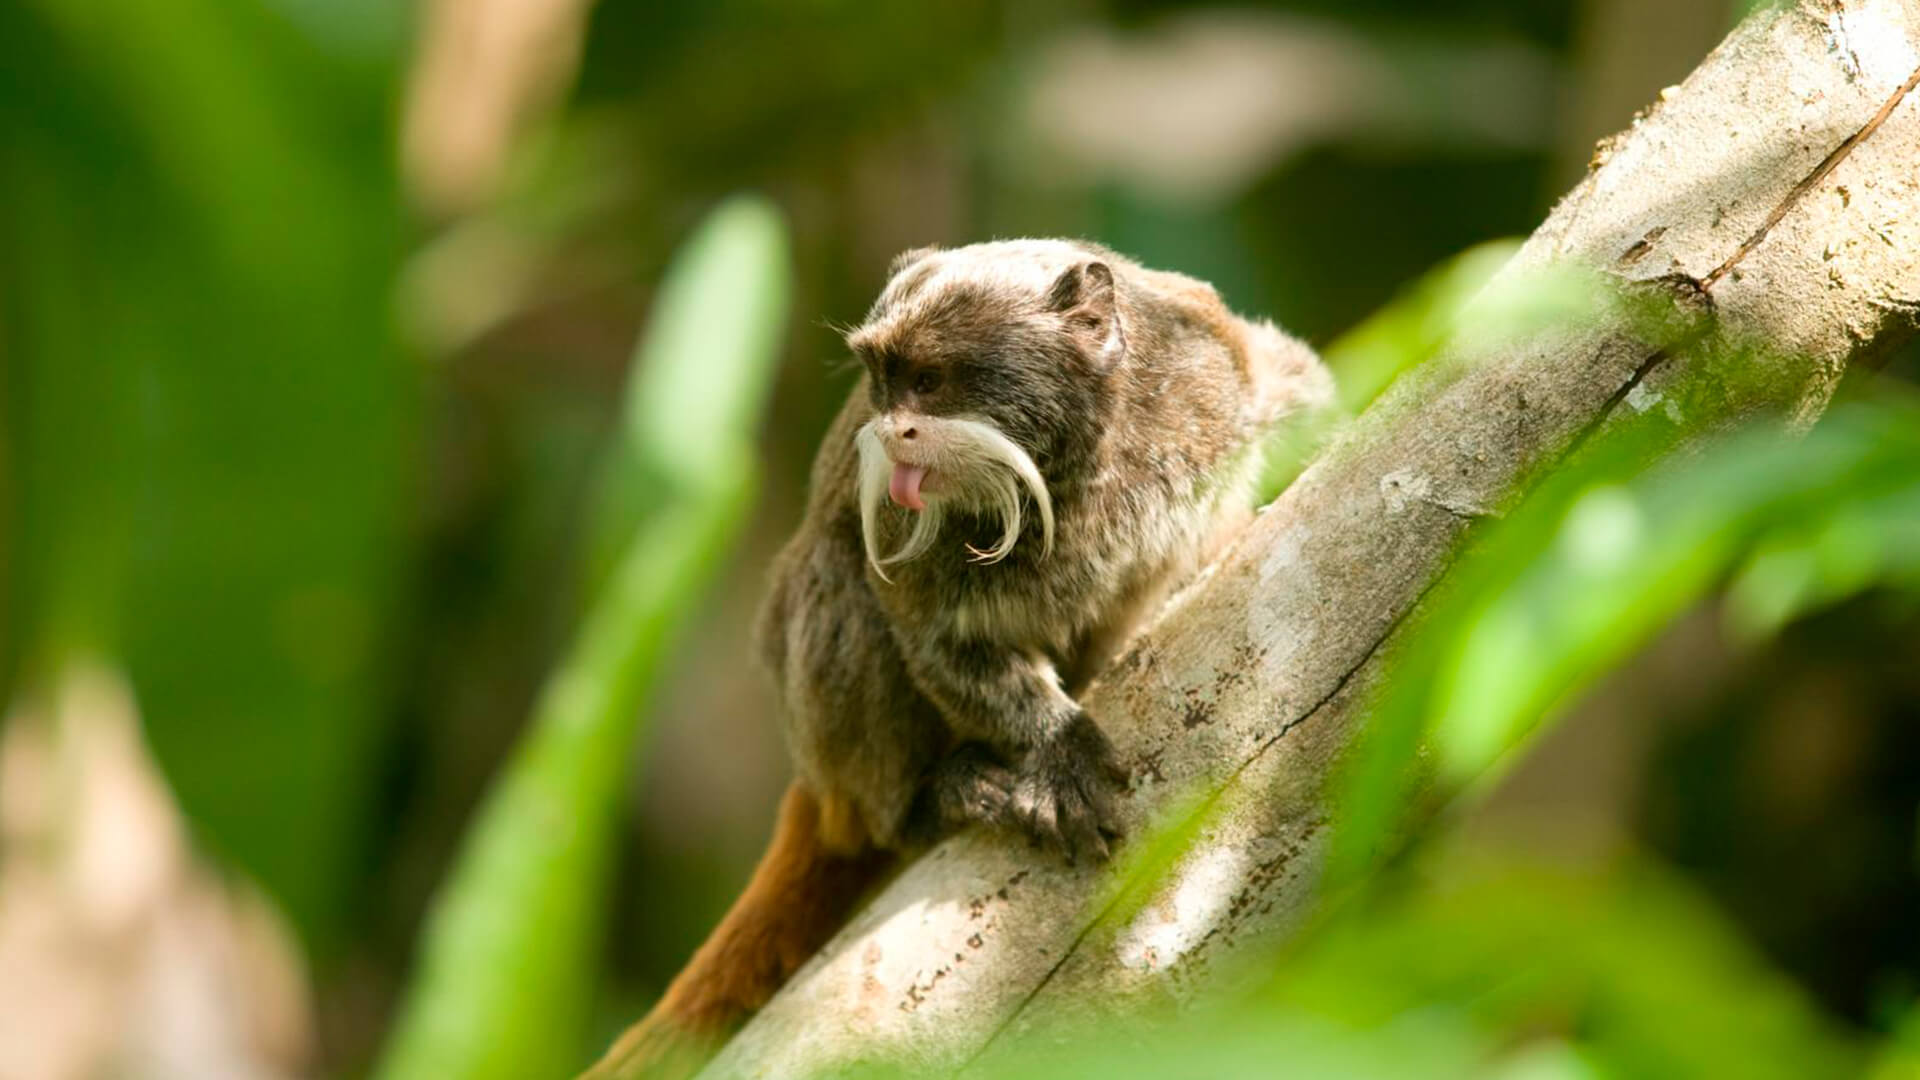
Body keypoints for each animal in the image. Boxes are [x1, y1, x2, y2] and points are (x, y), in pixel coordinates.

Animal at [584, 239, 1329, 1079]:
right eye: (883, 381)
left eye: (930, 381)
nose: (893, 432)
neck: (1083, 465)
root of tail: (819, 785)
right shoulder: (893, 512)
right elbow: (938, 645)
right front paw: (1056, 749)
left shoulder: (1217, 369)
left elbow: (1302, 389)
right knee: (837, 587)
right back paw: (933, 798)